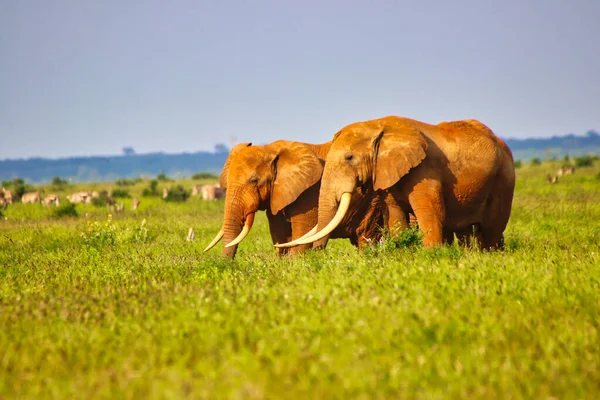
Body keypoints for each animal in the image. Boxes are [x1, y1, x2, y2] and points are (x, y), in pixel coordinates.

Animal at [204, 141, 386, 260]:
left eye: (254, 180)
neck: (271, 150)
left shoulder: (310, 193)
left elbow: (302, 232)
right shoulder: (277, 195)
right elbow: (280, 233)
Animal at [276, 115, 516, 252]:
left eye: (349, 158)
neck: (376, 126)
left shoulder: (426, 170)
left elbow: (431, 212)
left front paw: (432, 257)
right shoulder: (387, 171)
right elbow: (395, 215)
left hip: (504, 179)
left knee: (492, 228)